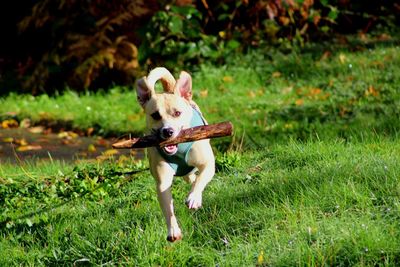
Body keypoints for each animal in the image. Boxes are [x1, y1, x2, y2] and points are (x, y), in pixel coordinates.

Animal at [135, 67, 216, 243]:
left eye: (178, 113)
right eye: (155, 115)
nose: (168, 131)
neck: (178, 148)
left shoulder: (208, 164)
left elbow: (201, 178)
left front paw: (194, 197)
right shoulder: (162, 181)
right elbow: (167, 207)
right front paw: (173, 231)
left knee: (195, 178)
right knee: (189, 177)